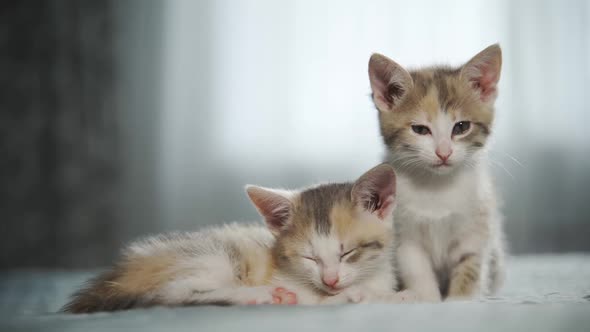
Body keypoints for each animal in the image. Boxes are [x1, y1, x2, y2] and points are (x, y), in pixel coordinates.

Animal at [62, 165, 400, 312]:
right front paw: (354, 295)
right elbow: (328, 301)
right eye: (309, 257)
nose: (330, 280)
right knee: (174, 293)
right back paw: (259, 296)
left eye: (348, 252)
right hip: (213, 256)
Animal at [368, 45, 506, 302]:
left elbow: (470, 266)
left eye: (461, 127)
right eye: (420, 130)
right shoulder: (404, 236)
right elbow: (416, 268)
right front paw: (425, 297)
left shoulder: (476, 227)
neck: (436, 186)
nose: (444, 153)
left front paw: (460, 300)